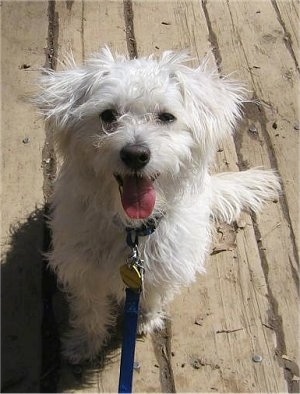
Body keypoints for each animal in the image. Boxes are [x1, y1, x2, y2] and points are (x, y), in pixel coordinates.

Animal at [34, 48, 278, 364]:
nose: (136, 154)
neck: (132, 230)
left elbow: (151, 294)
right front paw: (84, 343)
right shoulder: (83, 269)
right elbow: (90, 309)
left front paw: (145, 318)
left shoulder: (162, 267)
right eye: (108, 115)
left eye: (166, 117)